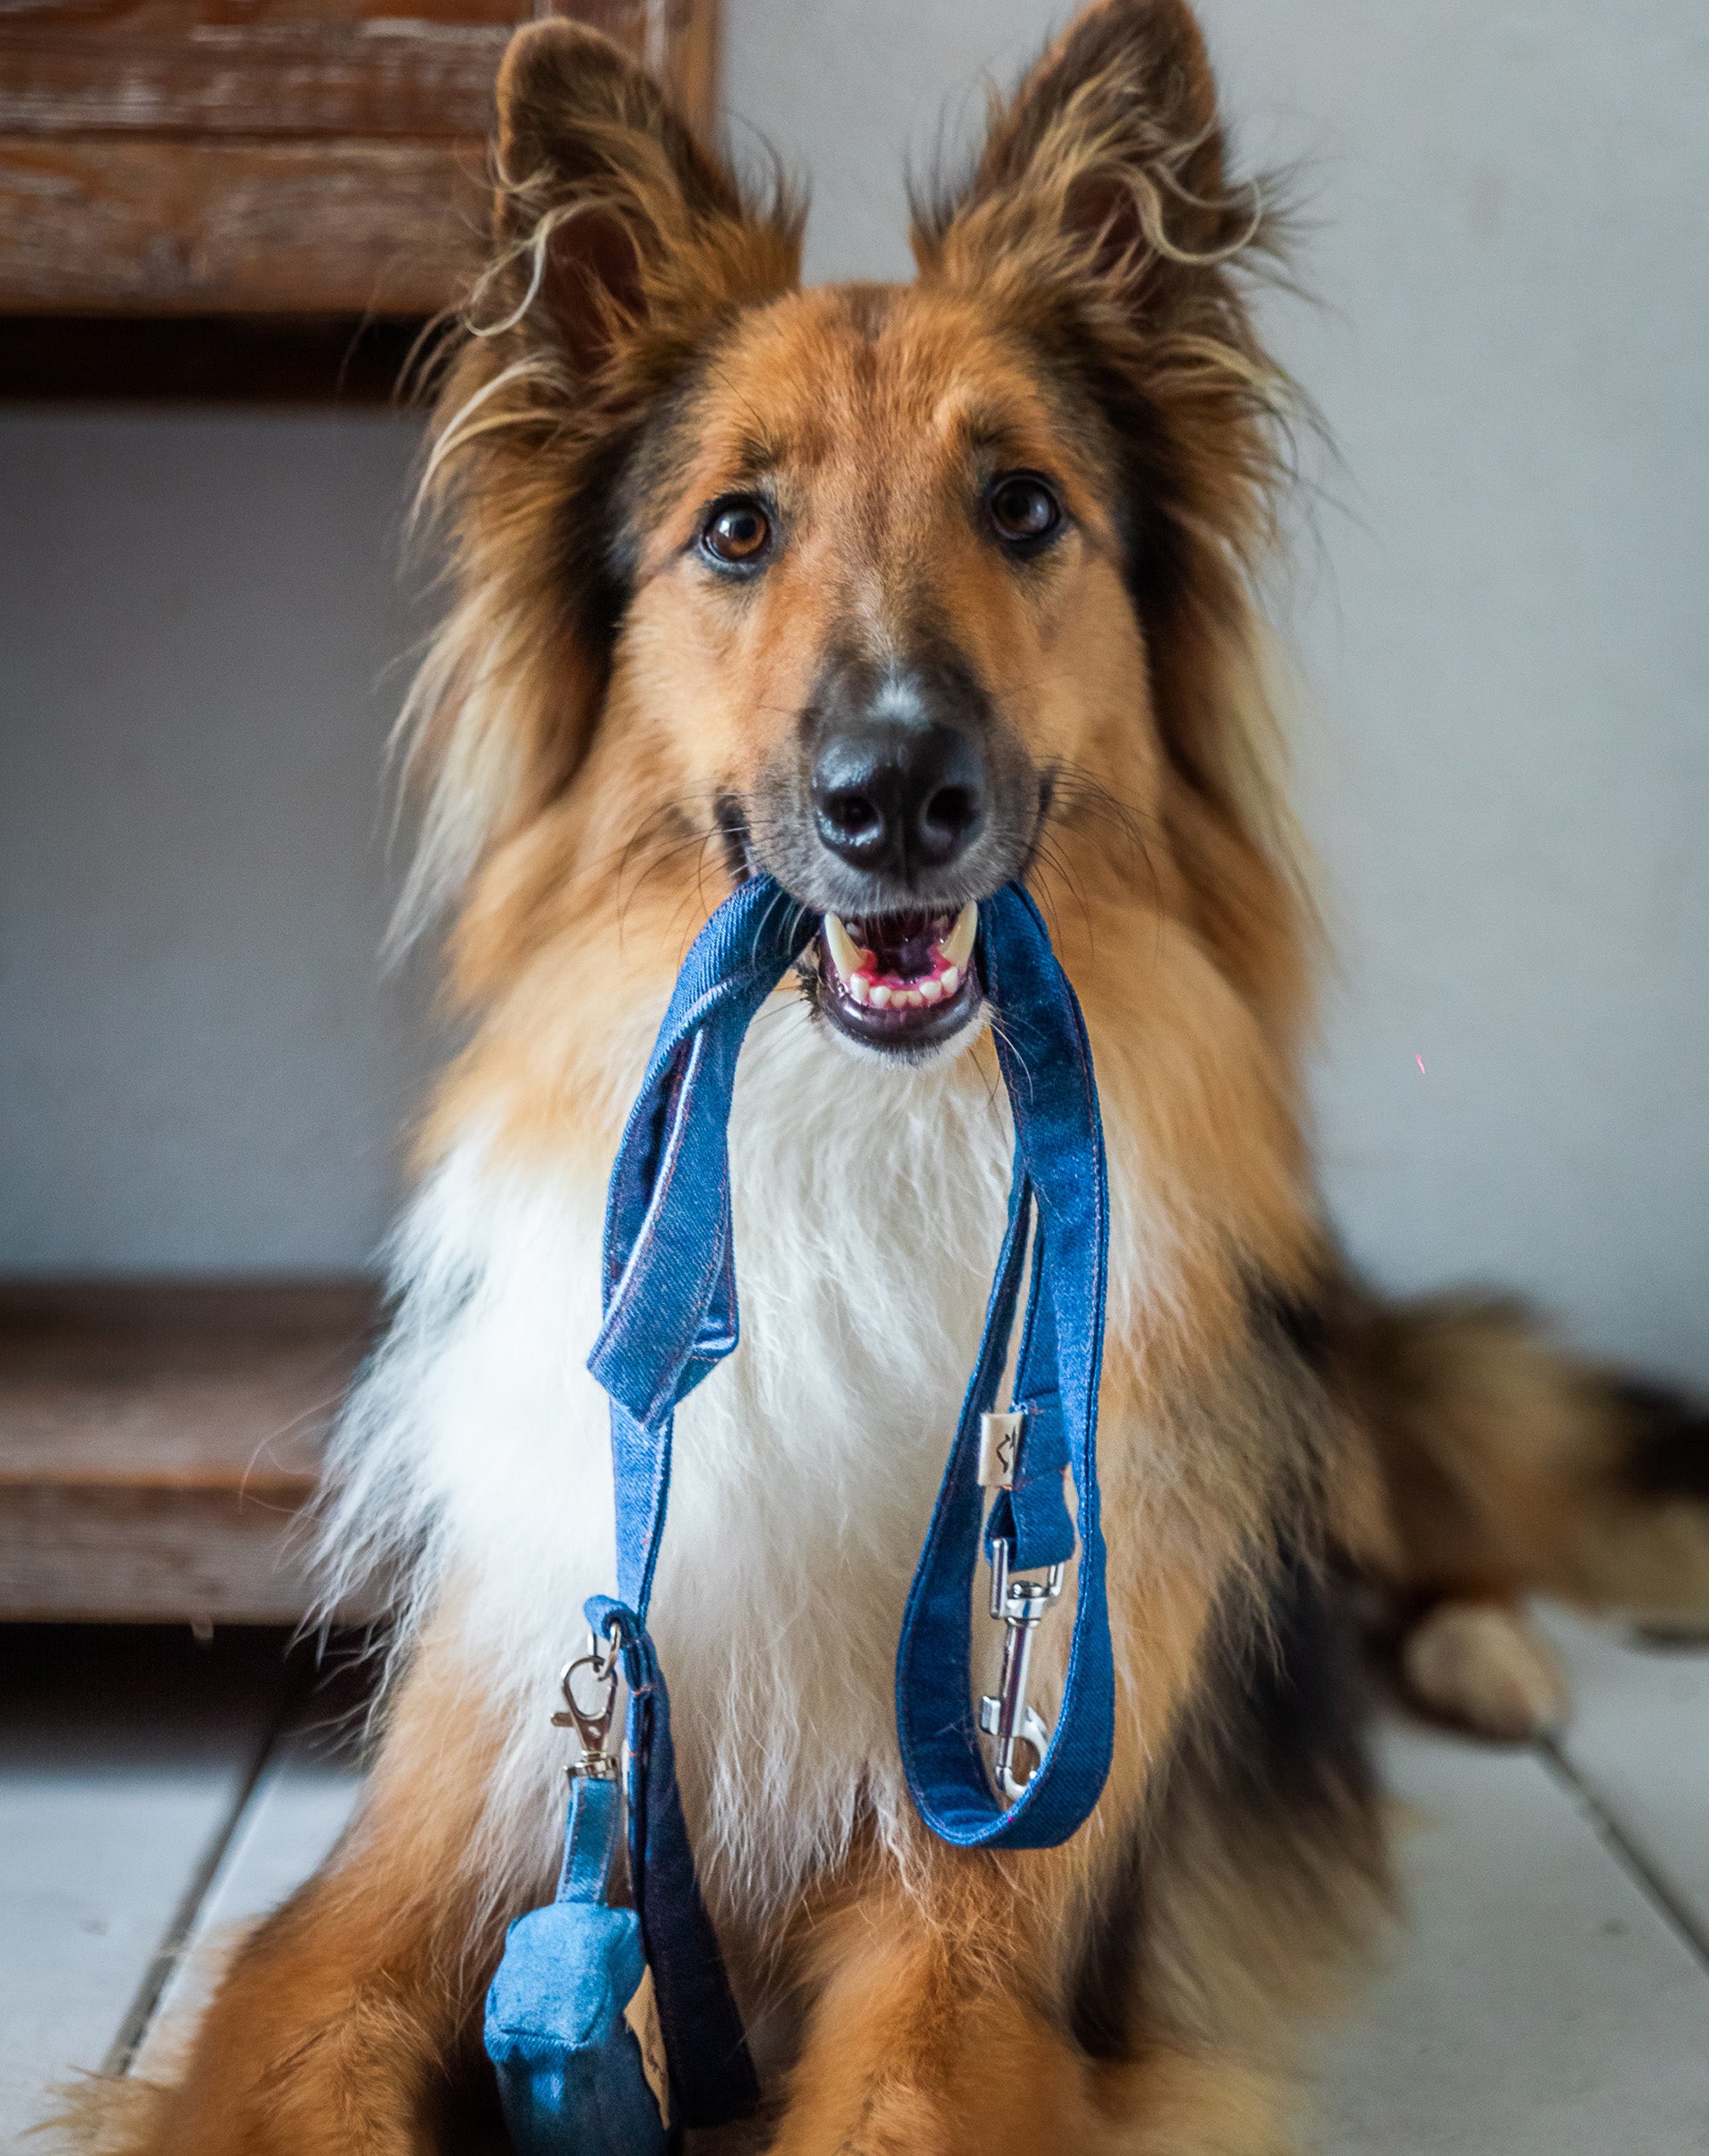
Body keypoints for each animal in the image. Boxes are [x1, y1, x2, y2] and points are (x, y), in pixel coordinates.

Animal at [86, 4, 1706, 2156]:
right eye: (736, 528)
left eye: (1021, 505)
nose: (896, 798)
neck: (837, 1134)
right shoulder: (407, 1868)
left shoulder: (979, 1912)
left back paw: (1490, 1651)